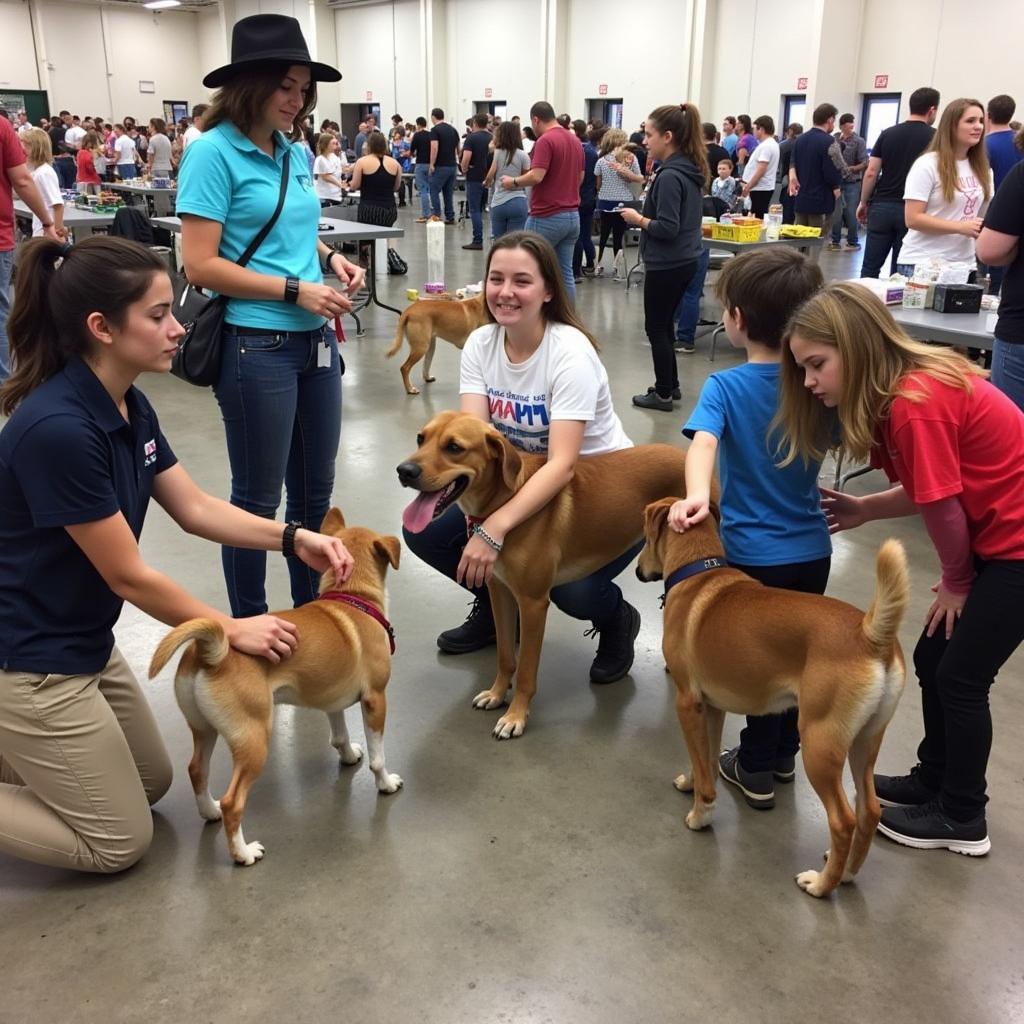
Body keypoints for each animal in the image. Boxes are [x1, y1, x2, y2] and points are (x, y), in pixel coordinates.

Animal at [148, 507, 403, 868]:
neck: (352, 597)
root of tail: (211, 651)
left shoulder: (333, 700)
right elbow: (378, 757)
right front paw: (385, 783)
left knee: (197, 770)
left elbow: (339, 735)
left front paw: (349, 755)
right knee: (234, 802)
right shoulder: (375, 700)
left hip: (204, 729)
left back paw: (209, 810)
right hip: (255, 740)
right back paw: (243, 852)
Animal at [634, 499, 909, 901]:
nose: (637, 570)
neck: (697, 570)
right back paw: (845, 872)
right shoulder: (712, 707)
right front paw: (693, 783)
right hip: (865, 741)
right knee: (870, 809)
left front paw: (701, 815)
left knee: (843, 820)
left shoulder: (687, 703)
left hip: (819, 745)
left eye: (643, 538)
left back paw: (821, 883)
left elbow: (701, 763)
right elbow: (704, 757)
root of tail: (870, 636)